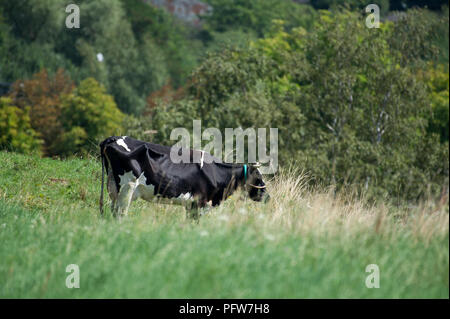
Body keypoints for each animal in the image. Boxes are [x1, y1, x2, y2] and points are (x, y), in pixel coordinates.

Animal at [99, 136, 268, 219]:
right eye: (258, 177)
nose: (268, 196)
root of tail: (112, 138)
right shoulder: (200, 202)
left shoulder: (191, 205)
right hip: (127, 188)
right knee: (120, 213)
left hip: (114, 188)